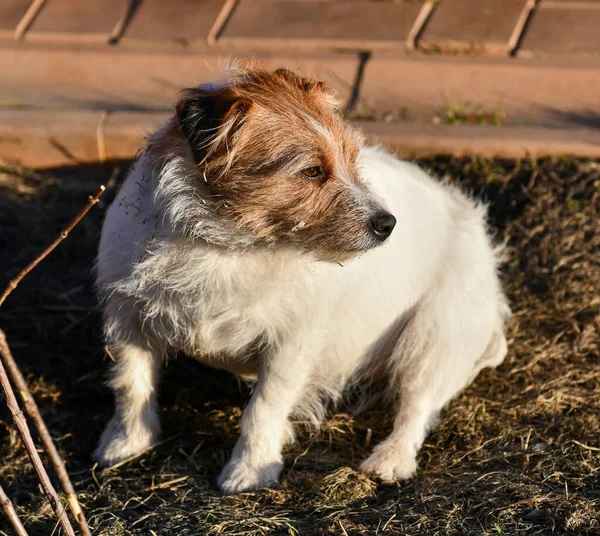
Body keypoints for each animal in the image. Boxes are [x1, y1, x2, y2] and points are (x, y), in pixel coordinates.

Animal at [94, 67, 510, 494]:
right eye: (311, 171)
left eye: (352, 159)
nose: (388, 224)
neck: (229, 246)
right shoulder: (127, 323)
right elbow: (131, 385)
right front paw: (126, 444)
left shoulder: (289, 347)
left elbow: (263, 408)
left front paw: (250, 470)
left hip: (433, 339)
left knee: (417, 407)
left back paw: (390, 460)